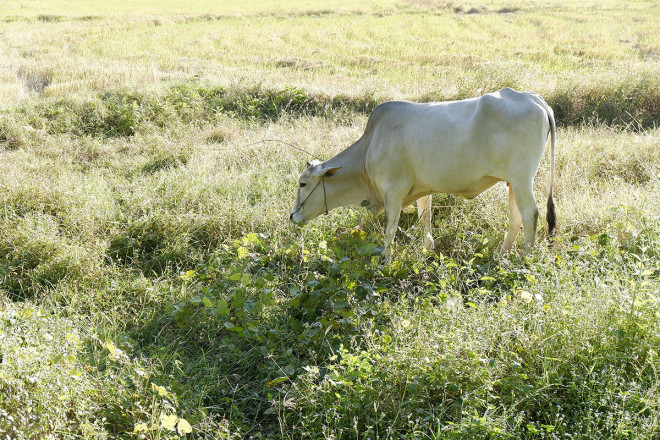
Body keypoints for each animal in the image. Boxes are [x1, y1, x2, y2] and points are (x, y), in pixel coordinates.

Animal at [292, 87, 556, 258]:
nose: (293, 216)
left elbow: (390, 231)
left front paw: (385, 262)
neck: (369, 148)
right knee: (516, 217)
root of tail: (534, 99)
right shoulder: (422, 189)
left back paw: (525, 259)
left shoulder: (393, 191)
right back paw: (501, 256)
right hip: (513, 182)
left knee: (530, 214)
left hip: (521, 179)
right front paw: (425, 253)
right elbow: (424, 220)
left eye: (302, 184)